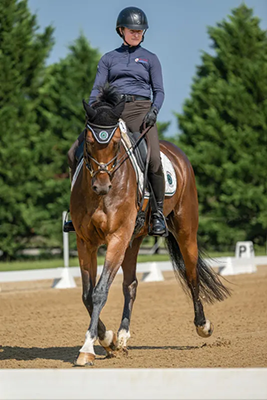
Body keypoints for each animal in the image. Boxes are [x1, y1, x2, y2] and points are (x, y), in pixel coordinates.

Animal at [70, 84, 231, 366]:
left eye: (115, 144)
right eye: (88, 142)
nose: (101, 186)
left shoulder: (117, 238)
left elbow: (100, 292)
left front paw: (88, 348)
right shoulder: (85, 241)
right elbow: (88, 294)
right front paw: (108, 340)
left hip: (185, 230)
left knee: (191, 275)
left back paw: (203, 325)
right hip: (133, 239)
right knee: (131, 284)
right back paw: (122, 336)